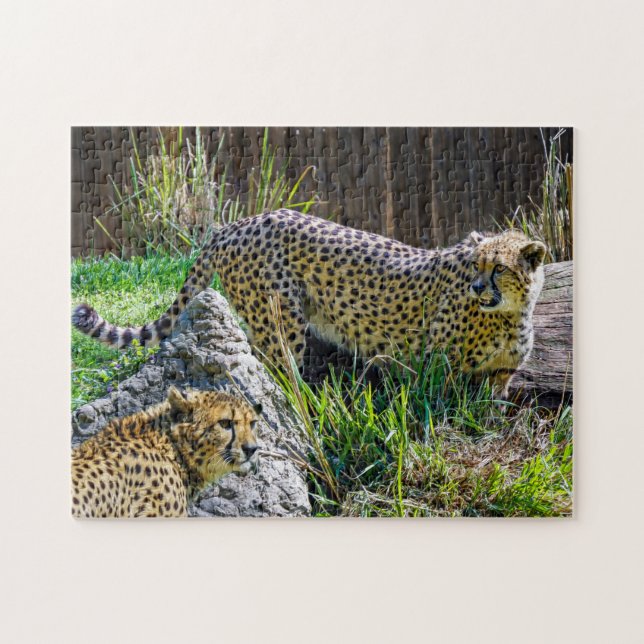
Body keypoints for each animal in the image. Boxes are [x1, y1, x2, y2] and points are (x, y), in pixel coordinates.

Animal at [73, 208, 546, 396]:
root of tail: (234, 224)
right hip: (280, 316)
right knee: (274, 366)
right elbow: (439, 406)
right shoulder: (436, 364)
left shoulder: (499, 374)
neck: (508, 313)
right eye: (475, 265)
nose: (477, 288)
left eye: (498, 268)